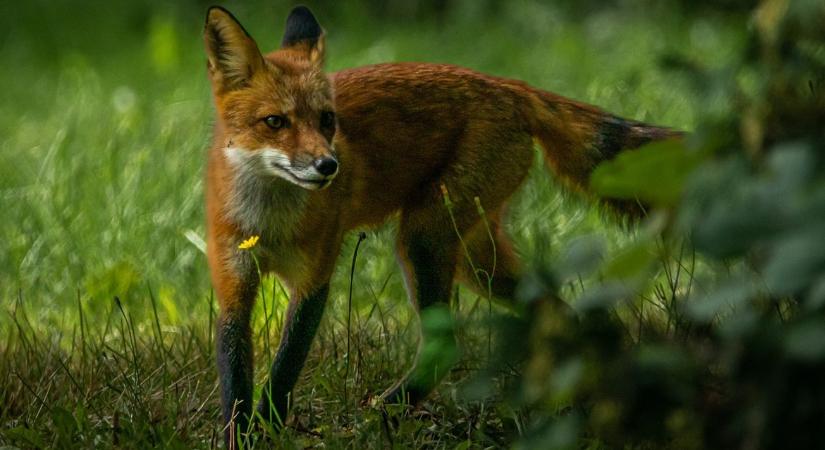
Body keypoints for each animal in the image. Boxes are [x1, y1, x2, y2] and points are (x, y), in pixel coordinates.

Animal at [203, 3, 680, 446]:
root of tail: (510, 85)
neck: (268, 223)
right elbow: (235, 375)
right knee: (556, 312)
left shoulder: (313, 280)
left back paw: (384, 412)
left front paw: (267, 427)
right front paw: (238, 435)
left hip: (423, 241)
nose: (328, 166)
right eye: (275, 122)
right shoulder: (233, 282)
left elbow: (285, 368)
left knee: (446, 347)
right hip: (474, 260)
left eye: (327, 120)